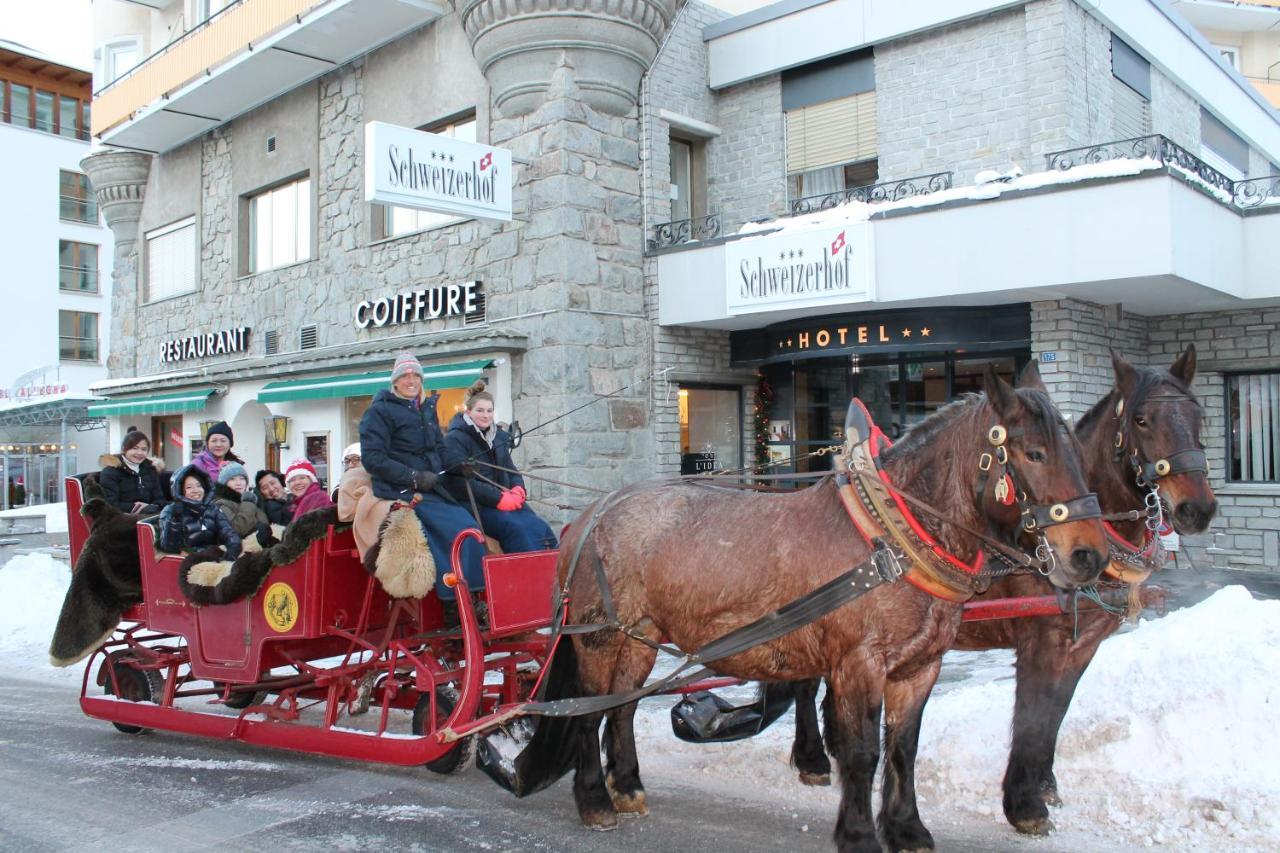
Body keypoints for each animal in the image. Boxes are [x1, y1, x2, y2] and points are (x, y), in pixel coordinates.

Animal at [514, 363, 1105, 850]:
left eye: (1079, 453)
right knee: (587, 711)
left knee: (622, 706)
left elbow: (904, 748)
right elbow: (862, 752)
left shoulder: (919, 668)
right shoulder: (858, 664)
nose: (1089, 555)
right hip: (598, 637)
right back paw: (595, 800)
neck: (889, 539)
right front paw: (860, 835)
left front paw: (907, 830)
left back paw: (629, 785)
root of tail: (590, 515)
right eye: (1033, 453)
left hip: (639, 637)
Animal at [783, 343, 1213, 835]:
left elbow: (1055, 712)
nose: (1197, 508)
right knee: (801, 681)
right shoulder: (1041, 639)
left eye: (1198, 416)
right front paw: (1025, 803)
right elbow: (1032, 717)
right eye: (1141, 420)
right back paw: (813, 758)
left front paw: (1045, 784)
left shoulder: (1084, 643)